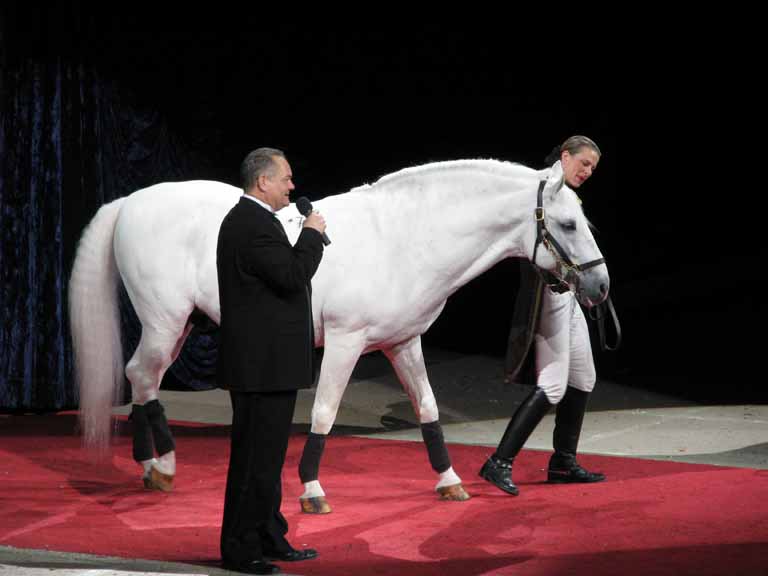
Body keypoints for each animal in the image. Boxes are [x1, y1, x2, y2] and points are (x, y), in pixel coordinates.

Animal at [69, 160, 608, 506]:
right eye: (566, 223)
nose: (600, 286)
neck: (403, 237)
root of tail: (131, 201)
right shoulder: (346, 343)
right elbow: (324, 412)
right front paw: (311, 490)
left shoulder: (403, 343)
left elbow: (428, 408)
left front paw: (449, 481)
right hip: (165, 320)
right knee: (143, 376)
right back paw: (161, 467)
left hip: (177, 326)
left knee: (140, 377)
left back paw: (149, 465)